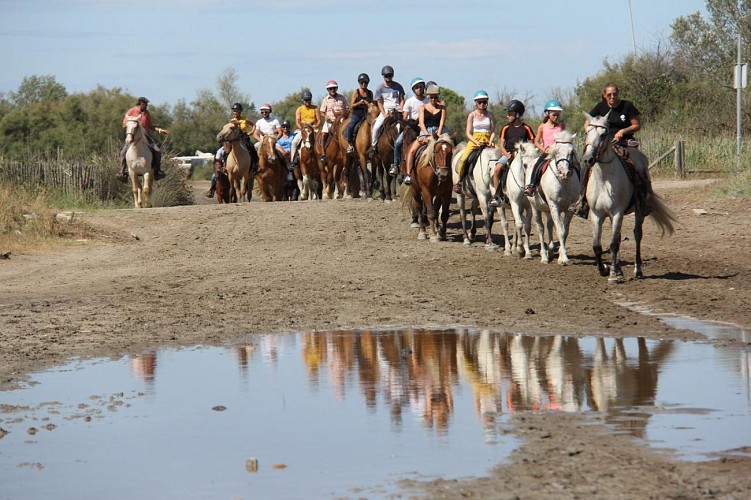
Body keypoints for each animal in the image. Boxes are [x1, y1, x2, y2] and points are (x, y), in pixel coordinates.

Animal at [527, 130, 582, 265]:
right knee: (541, 228)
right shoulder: (554, 206)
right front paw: (564, 259)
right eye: (556, 152)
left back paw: (550, 251)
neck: (564, 182)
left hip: (547, 209)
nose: (565, 172)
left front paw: (561, 255)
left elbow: (565, 232)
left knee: (549, 225)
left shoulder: (570, 208)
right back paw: (544, 256)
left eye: (572, 152)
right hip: (535, 207)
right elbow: (560, 231)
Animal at [582, 112, 677, 282]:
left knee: (637, 235)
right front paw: (605, 270)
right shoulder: (597, 214)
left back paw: (637, 270)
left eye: (603, 134)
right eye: (587, 132)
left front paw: (614, 274)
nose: (588, 159)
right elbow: (597, 246)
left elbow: (613, 244)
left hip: (639, 211)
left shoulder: (617, 212)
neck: (604, 179)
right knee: (619, 238)